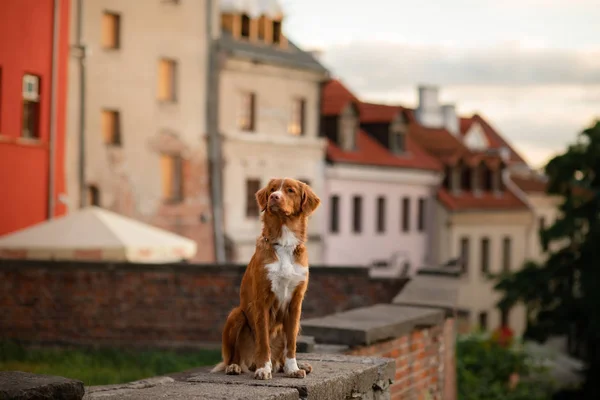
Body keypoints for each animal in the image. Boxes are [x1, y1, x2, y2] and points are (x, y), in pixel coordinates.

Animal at [212, 177, 322, 378]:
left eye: (290, 190)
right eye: (272, 189)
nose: (274, 197)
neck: (285, 243)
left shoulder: (296, 303)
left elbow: (291, 343)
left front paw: (293, 368)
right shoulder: (262, 301)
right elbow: (263, 341)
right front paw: (263, 368)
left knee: (282, 354)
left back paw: (295, 365)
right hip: (236, 314)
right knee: (233, 356)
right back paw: (236, 366)